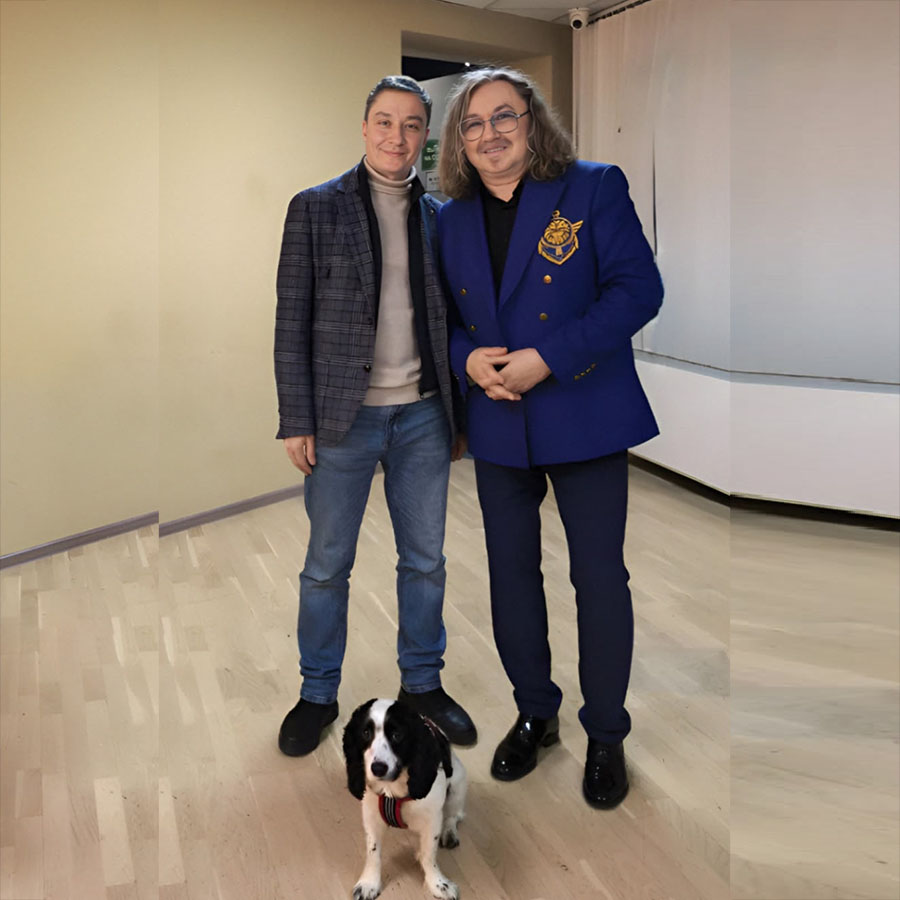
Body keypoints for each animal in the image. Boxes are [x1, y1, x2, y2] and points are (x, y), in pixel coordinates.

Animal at [342, 698, 467, 900]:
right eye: (366, 733)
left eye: (397, 735)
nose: (378, 768)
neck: (392, 788)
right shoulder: (371, 816)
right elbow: (373, 852)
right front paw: (369, 883)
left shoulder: (432, 819)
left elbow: (429, 854)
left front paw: (438, 883)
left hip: (458, 784)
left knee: (454, 815)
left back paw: (449, 832)